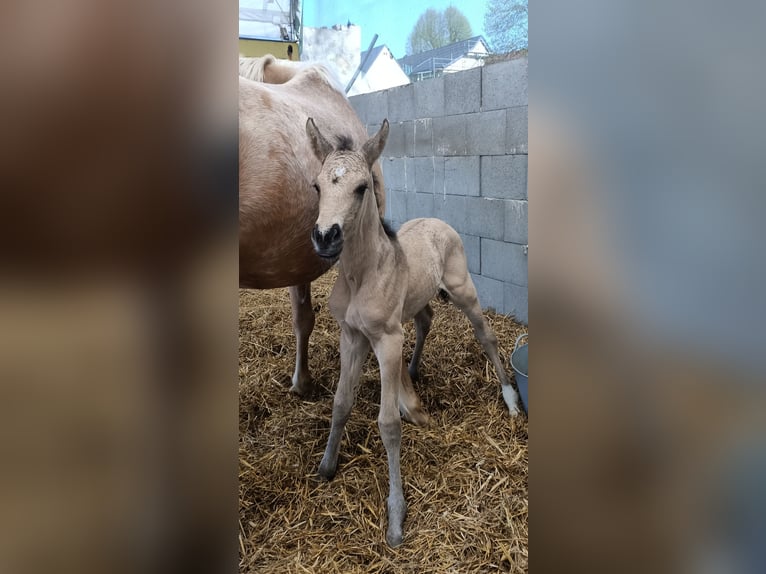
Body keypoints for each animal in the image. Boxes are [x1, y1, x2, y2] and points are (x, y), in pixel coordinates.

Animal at [304, 117, 521, 546]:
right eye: (317, 186)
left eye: (362, 187)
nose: (325, 237)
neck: (361, 275)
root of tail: (438, 220)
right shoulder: (351, 336)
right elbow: (341, 402)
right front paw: (326, 467)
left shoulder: (387, 340)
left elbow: (387, 423)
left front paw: (396, 518)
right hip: (418, 299)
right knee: (426, 320)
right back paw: (415, 370)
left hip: (463, 289)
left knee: (486, 335)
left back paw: (510, 399)